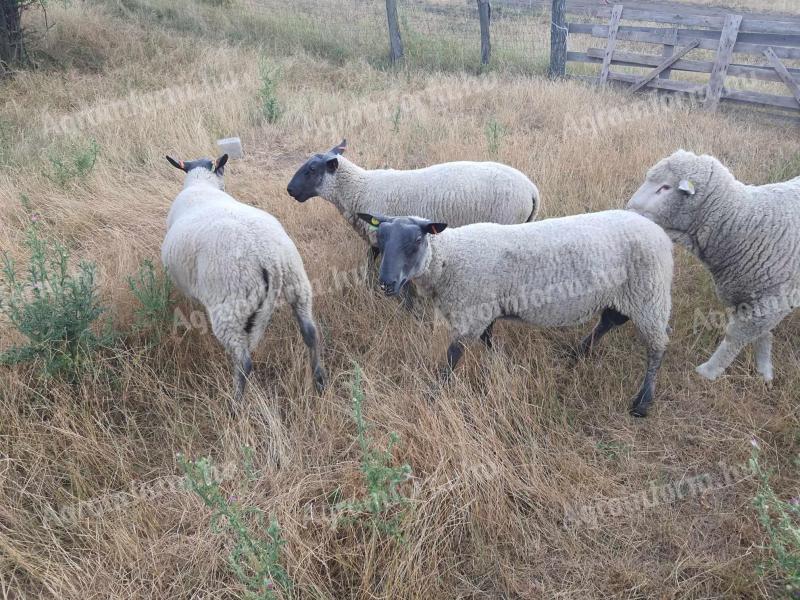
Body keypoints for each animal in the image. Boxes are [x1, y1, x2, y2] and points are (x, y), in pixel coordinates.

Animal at [162, 152, 324, 406]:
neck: (201, 184)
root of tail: (269, 257)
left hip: (230, 304)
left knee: (244, 361)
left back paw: (234, 405)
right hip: (298, 284)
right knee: (310, 333)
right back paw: (319, 381)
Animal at [356, 209, 676, 414]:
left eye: (417, 241)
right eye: (380, 240)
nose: (386, 283)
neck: (450, 259)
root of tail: (659, 233)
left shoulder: (472, 309)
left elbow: (453, 356)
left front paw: (434, 393)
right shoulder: (484, 307)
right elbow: (488, 340)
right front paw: (502, 363)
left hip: (649, 294)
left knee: (657, 346)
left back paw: (642, 403)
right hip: (624, 294)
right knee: (609, 321)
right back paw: (578, 352)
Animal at [628, 150, 796, 384]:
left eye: (665, 187)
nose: (627, 211)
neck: (743, 222)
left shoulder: (773, 300)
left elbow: (735, 337)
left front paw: (709, 371)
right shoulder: (749, 296)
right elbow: (761, 334)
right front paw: (765, 369)